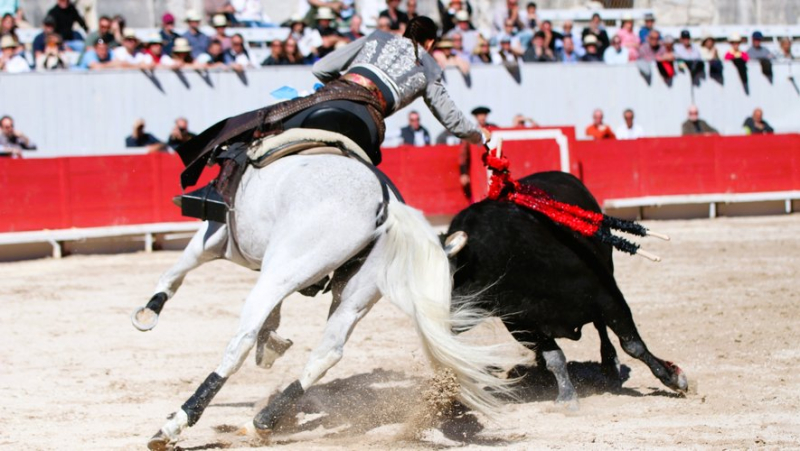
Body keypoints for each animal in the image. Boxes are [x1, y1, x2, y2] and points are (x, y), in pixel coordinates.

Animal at [134, 147, 516, 450]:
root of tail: (385, 205)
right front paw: (272, 345)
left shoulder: (217, 237)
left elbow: (176, 272)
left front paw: (149, 311)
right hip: (355, 296)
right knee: (328, 350)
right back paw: (262, 422)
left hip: (284, 269)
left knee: (240, 341)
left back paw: (174, 425)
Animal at [450, 172, 688, 406]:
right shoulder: (521, 323)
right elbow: (554, 356)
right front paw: (567, 397)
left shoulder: (608, 296)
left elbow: (632, 344)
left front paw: (674, 378)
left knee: (601, 328)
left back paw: (610, 365)